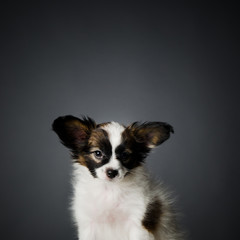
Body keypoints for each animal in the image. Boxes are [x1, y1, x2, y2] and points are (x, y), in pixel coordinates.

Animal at [52, 115, 183, 239]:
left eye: (125, 155)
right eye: (98, 153)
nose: (112, 172)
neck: (110, 189)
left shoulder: (138, 222)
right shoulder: (88, 224)